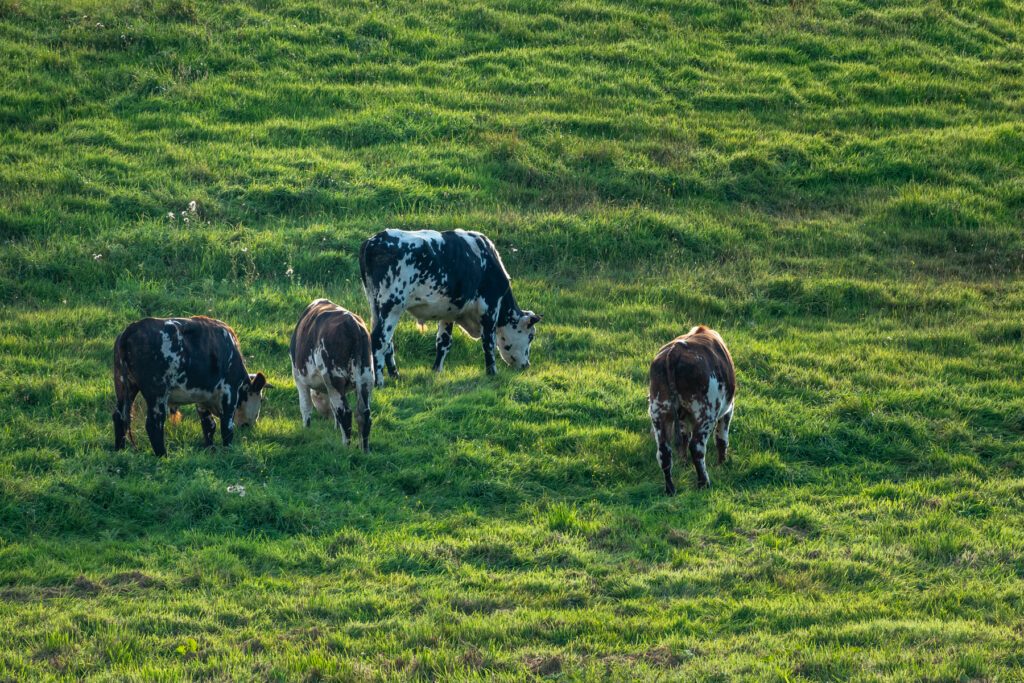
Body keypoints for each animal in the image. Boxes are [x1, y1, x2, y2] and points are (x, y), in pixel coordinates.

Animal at [112, 317, 268, 456]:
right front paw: (228, 451)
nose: (251, 424)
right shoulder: (230, 393)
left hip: (124, 386)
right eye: (260, 399)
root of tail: (132, 328)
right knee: (154, 423)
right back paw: (162, 455)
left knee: (119, 416)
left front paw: (210, 449)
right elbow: (227, 427)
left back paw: (120, 450)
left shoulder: (203, 398)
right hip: (157, 393)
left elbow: (209, 425)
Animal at [290, 296, 374, 448]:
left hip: (334, 378)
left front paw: (306, 429)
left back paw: (345, 447)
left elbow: (305, 407)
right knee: (364, 414)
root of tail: (351, 323)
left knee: (345, 412)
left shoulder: (299, 379)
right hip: (366, 377)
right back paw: (364, 449)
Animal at [358, 229, 540, 387]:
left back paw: (395, 375)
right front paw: (492, 373)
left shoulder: (449, 312)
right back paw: (379, 381)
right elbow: (488, 342)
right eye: (531, 336)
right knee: (379, 339)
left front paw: (436, 370)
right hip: (391, 306)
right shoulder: (490, 307)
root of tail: (373, 241)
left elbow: (443, 342)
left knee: (387, 342)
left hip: (375, 305)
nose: (527, 365)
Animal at [647, 327, 737, 493]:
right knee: (696, 447)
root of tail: (675, 351)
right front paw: (722, 463)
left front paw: (683, 462)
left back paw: (670, 489)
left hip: (658, 411)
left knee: (664, 451)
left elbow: (683, 436)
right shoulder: (728, 410)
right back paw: (703, 483)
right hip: (706, 413)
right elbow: (722, 438)